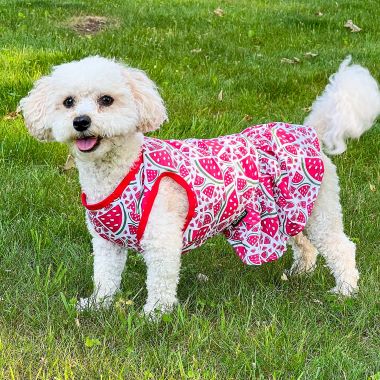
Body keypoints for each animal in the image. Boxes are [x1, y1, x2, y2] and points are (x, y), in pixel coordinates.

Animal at [19, 54, 380, 314]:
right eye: (68, 102)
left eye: (106, 100)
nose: (81, 122)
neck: (123, 169)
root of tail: (310, 130)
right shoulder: (107, 244)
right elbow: (105, 278)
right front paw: (98, 306)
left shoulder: (162, 240)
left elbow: (161, 282)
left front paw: (154, 316)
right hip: (292, 207)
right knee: (303, 242)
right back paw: (300, 272)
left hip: (320, 210)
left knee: (341, 247)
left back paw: (345, 290)